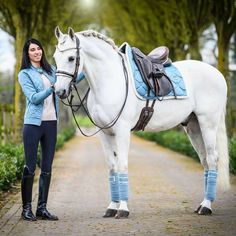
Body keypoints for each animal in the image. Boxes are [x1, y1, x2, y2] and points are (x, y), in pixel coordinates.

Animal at [54, 26, 230, 218]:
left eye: (71, 58)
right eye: (55, 57)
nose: (59, 91)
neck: (111, 80)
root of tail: (217, 74)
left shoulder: (122, 130)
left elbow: (122, 165)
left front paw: (123, 209)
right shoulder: (105, 133)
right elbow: (112, 167)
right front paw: (112, 207)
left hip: (208, 124)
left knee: (212, 159)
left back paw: (206, 206)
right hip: (193, 126)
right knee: (205, 160)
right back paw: (202, 205)